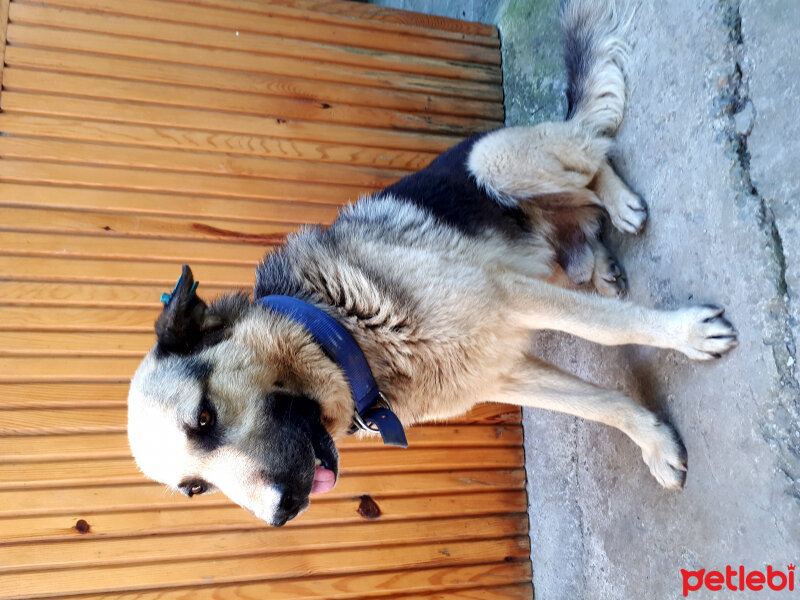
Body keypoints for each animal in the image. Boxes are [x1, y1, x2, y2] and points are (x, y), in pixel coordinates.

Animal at [126, 0, 736, 524]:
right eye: (196, 488)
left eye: (204, 417)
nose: (283, 513)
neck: (344, 330)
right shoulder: (502, 368)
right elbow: (601, 404)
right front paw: (654, 440)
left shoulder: (509, 297)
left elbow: (612, 331)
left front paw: (686, 335)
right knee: (583, 212)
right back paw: (601, 263)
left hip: (494, 161)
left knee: (594, 154)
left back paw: (620, 203)